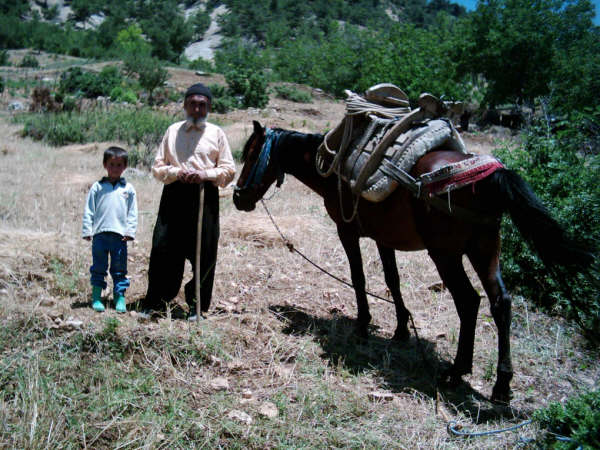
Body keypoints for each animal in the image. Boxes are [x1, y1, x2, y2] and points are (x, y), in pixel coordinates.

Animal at [233, 120, 594, 403]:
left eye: (251, 155)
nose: (238, 198)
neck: (332, 168)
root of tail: (487, 176)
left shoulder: (347, 231)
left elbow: (359, 277)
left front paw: (362, 325)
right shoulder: (383, 238)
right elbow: (392, 281)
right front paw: (401, 330)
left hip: (447, 255)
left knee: (469, 301)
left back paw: (457, 371)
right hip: (486, 249)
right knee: (500, 303)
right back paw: (502, 385)